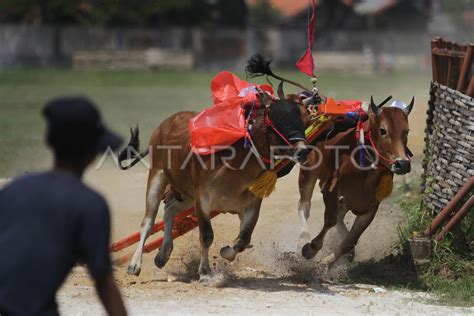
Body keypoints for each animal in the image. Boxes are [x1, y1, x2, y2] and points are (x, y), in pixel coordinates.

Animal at [118, 94, 312, 282]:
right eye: (279, 118)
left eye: (304, 120)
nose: (302, 151)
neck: (235, 163)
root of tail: (165, 124)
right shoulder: (202, 199)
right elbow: (206, 236)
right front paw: (205, 272)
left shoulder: (252, 203)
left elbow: (243, 240)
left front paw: (226, 251)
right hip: (157, 176)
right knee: (148, 223)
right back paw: (134, 264)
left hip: (186, 194)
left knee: (170, 209)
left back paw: (163, 254)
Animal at [300, 96, 414, 266]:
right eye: (383, 130)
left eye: (406, 131)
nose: (402, 164)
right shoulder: (331, 188)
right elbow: (330, 219)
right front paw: (311, 249)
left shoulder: (370, 206)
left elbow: (350, 241)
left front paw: (328, 261)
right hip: (307, 173)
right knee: (304, 206)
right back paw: (303, 237)